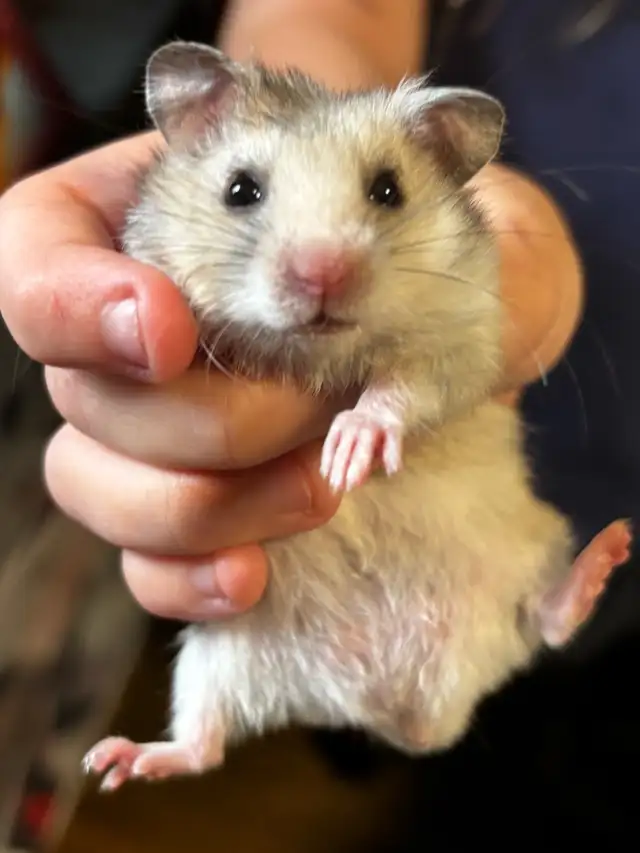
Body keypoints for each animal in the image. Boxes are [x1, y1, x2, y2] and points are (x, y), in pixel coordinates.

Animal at [83, 42, 632, 790]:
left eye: (388, 190)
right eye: (240, 191)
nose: (322, 275)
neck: (320, 352)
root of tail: (397, 713)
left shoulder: (464, 340)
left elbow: (405, 384)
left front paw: (351, 447)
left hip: (526, 556)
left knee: (546, 622)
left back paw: (610, 552)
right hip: (215, 655)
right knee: (204, 744)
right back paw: (114, 761)